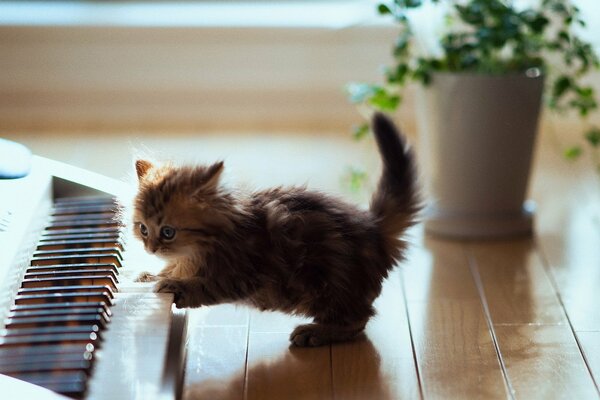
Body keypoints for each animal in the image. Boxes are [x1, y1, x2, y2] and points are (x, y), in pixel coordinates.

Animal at [132, 112, 422, 346]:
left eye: (167, 232)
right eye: (143, 229)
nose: (150, 248)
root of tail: (373, 228)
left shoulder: (242, 273)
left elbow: (206, 287)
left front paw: (177, 286)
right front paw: (149, 276)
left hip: (329, 283)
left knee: (358, 320)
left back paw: (317, 332)